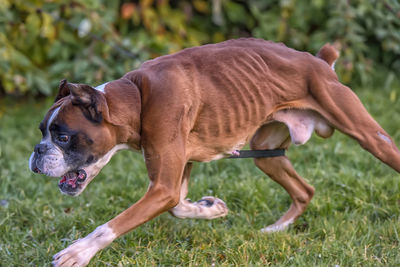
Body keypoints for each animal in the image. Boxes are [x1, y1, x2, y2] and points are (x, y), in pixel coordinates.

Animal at [28, 38, 400, 266]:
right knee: (304, 190)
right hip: (266, 152)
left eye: (63, 136)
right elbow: (179, 207)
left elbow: (111, 225)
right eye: (41, 131)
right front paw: (212, 209)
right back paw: (276, 230)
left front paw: (78, 252)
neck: (136, 97)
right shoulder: (175, 176)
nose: (36, 151)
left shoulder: (162, 186)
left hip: (371, 137)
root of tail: (321, 62)